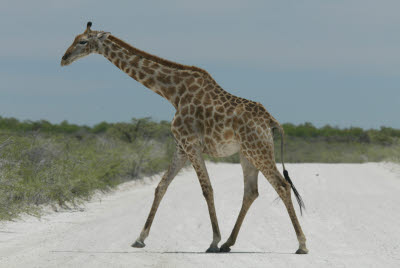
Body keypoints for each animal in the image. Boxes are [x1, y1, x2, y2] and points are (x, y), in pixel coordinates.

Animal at [61, 22, 308, 253]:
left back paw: (301, 244)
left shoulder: (190, 143)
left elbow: (207, 189)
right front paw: (140, 238)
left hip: (258, 149)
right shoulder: (181, 146)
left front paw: (213, 241)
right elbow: (161, 186)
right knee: (251, 191)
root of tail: (271, 121)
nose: (64, 58)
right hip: (247, 153)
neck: (173, 93)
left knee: (282, 186)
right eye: (74, 38)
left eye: (83, 41)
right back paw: (229, 243)